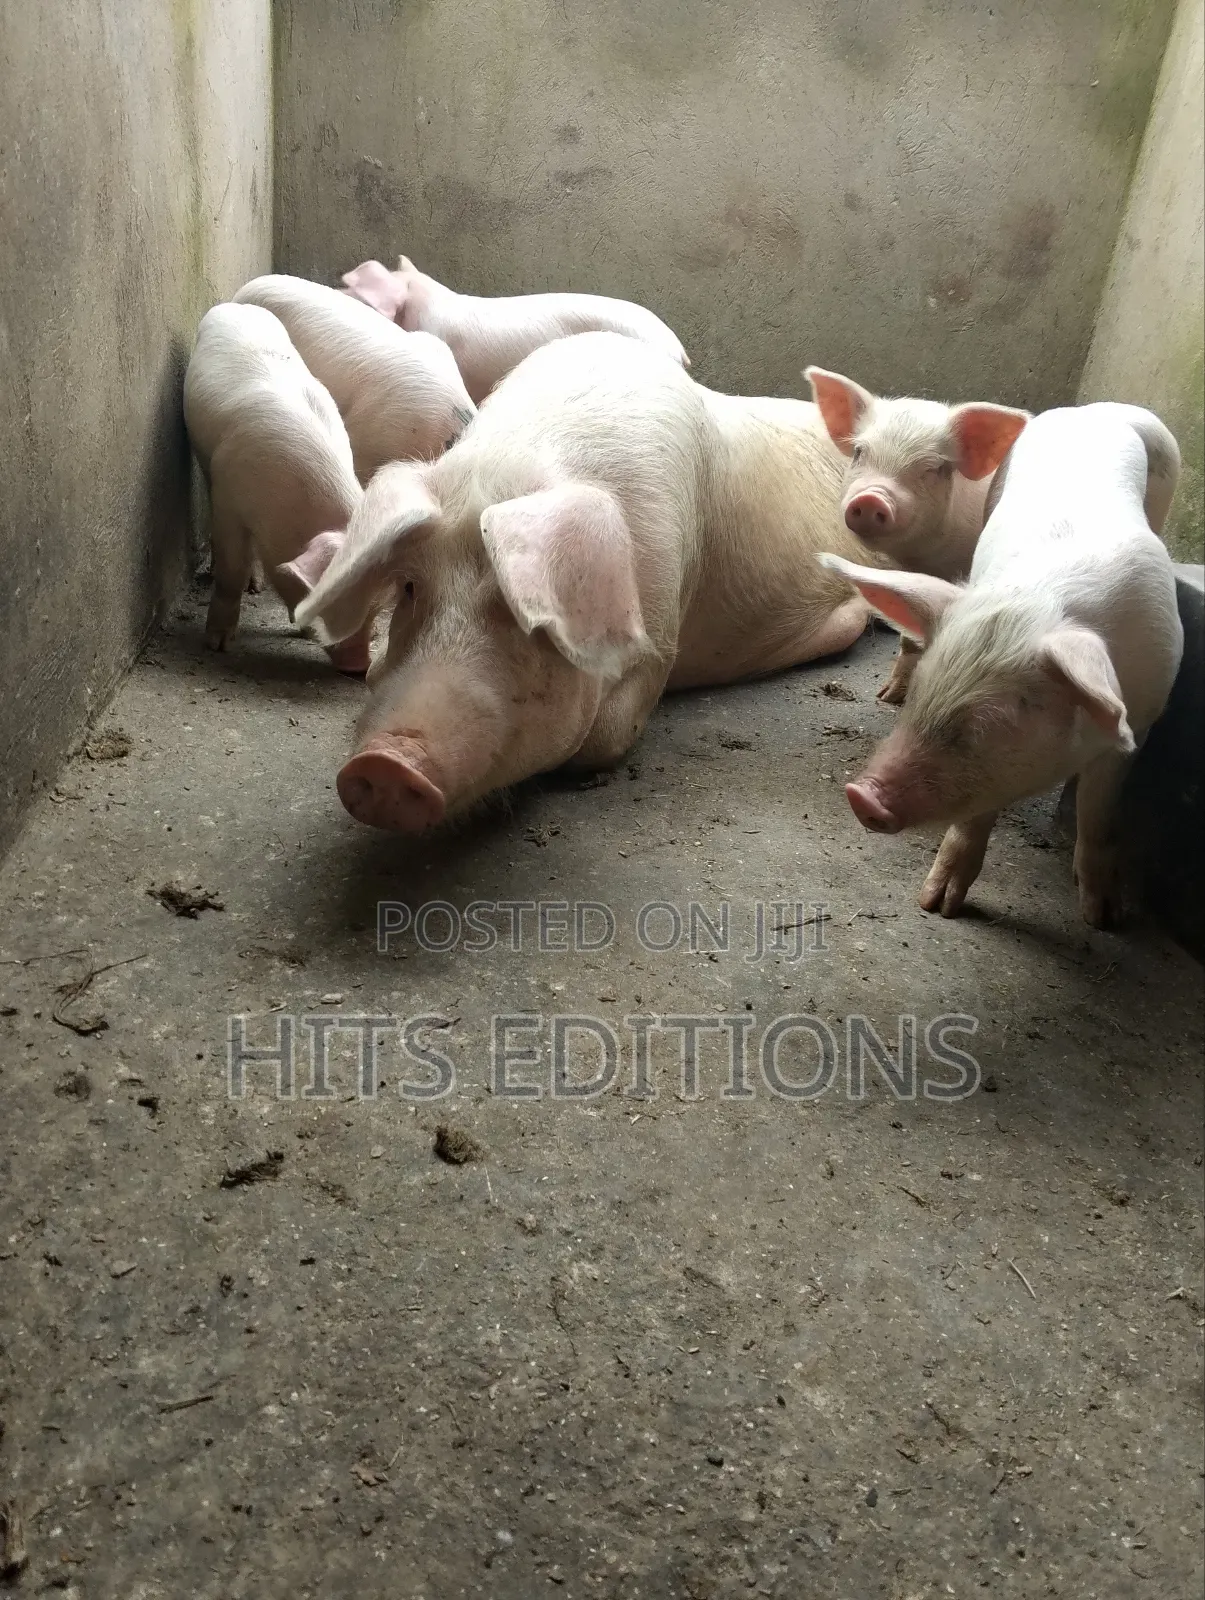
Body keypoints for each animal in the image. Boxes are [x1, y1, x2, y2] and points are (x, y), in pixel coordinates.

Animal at [182, 303, 371, 672]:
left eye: (378, 607)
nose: (361, 667)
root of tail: (236, 305)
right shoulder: (228, 498)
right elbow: (231, 569)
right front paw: (217, 646)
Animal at [806, 367, 1030, 704]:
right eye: (859, 452)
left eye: (931, 468)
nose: (871, 499)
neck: (927, 558)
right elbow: (909, 637)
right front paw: (887, 697)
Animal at [822, 402, 1184, 928]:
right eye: (924, 690)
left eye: (1000, 717)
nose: (861, 795)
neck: (1038, 601)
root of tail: (1097, 408)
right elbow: (975, 816)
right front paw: (937, 906)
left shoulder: (1142, 716)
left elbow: (1099, 810)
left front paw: (1102, 918)